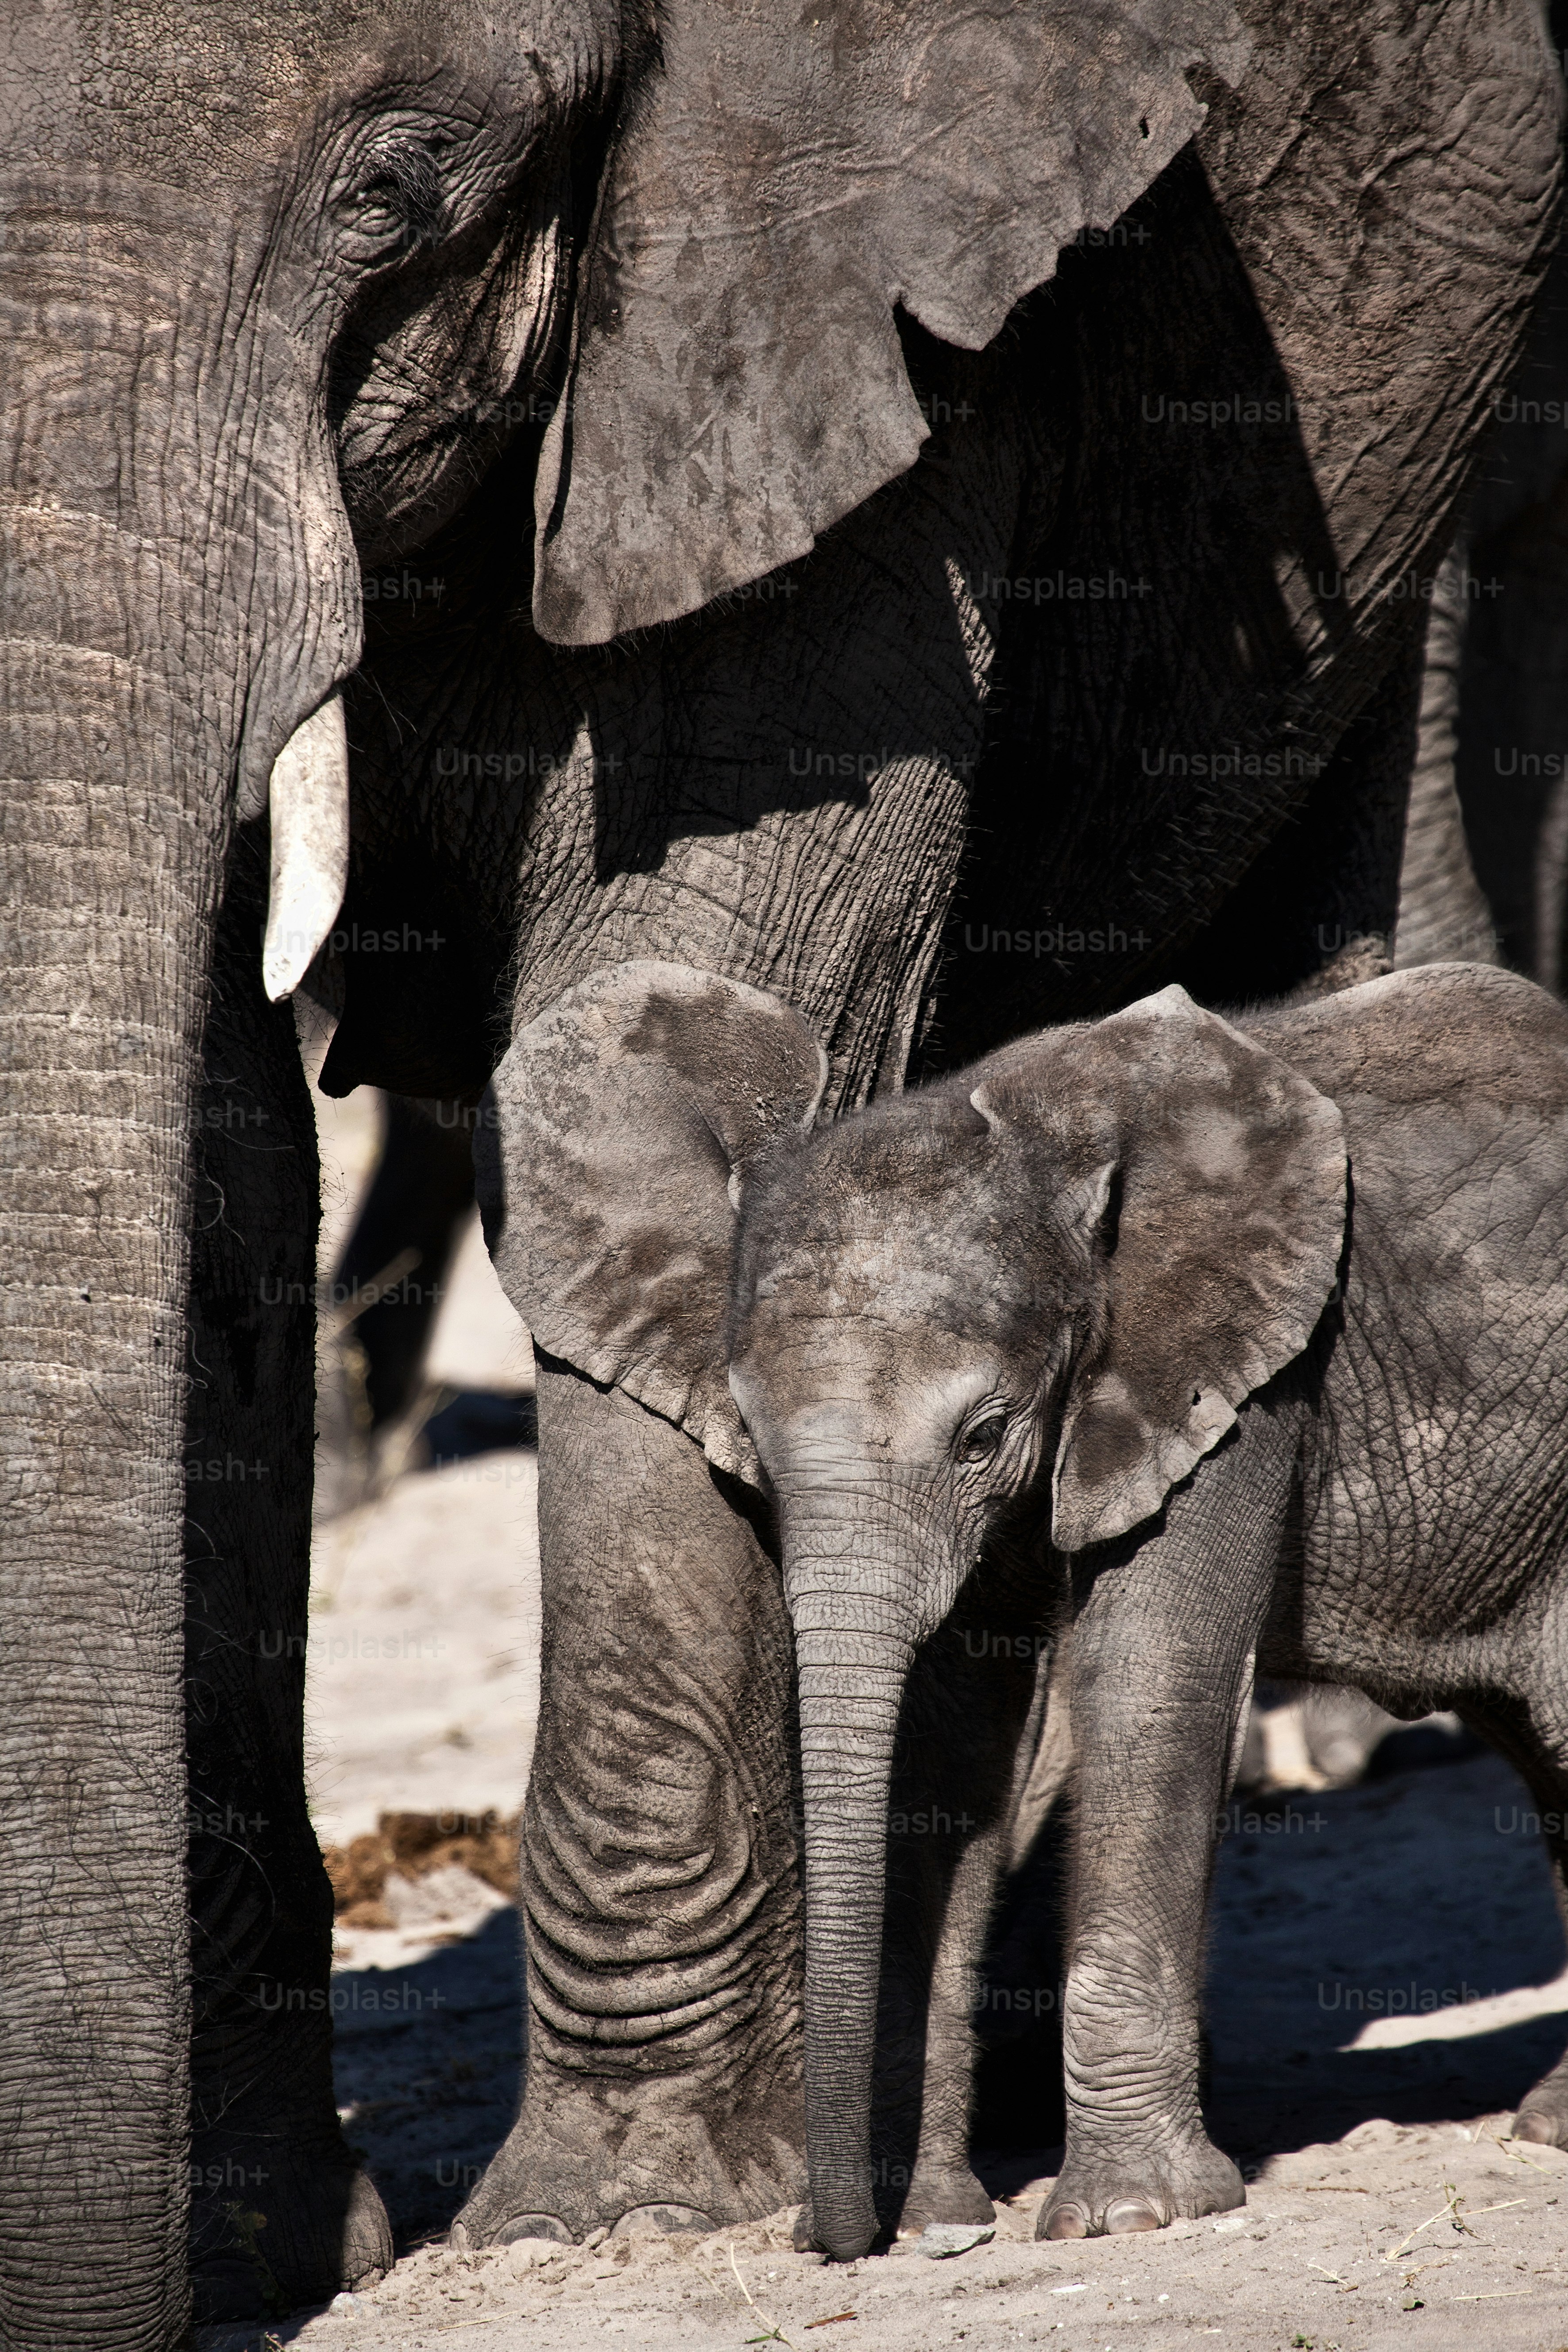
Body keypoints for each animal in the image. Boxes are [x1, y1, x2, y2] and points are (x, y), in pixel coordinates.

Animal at [502, 954, 1568, 2260]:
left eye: (983, 1432)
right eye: (748, 1433)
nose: (831, 2237)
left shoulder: (1245, 1370)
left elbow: (1153, 1683)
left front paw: (1129, 2215)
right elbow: (958, 1745)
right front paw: (936, 2221)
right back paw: (1553, 2123)